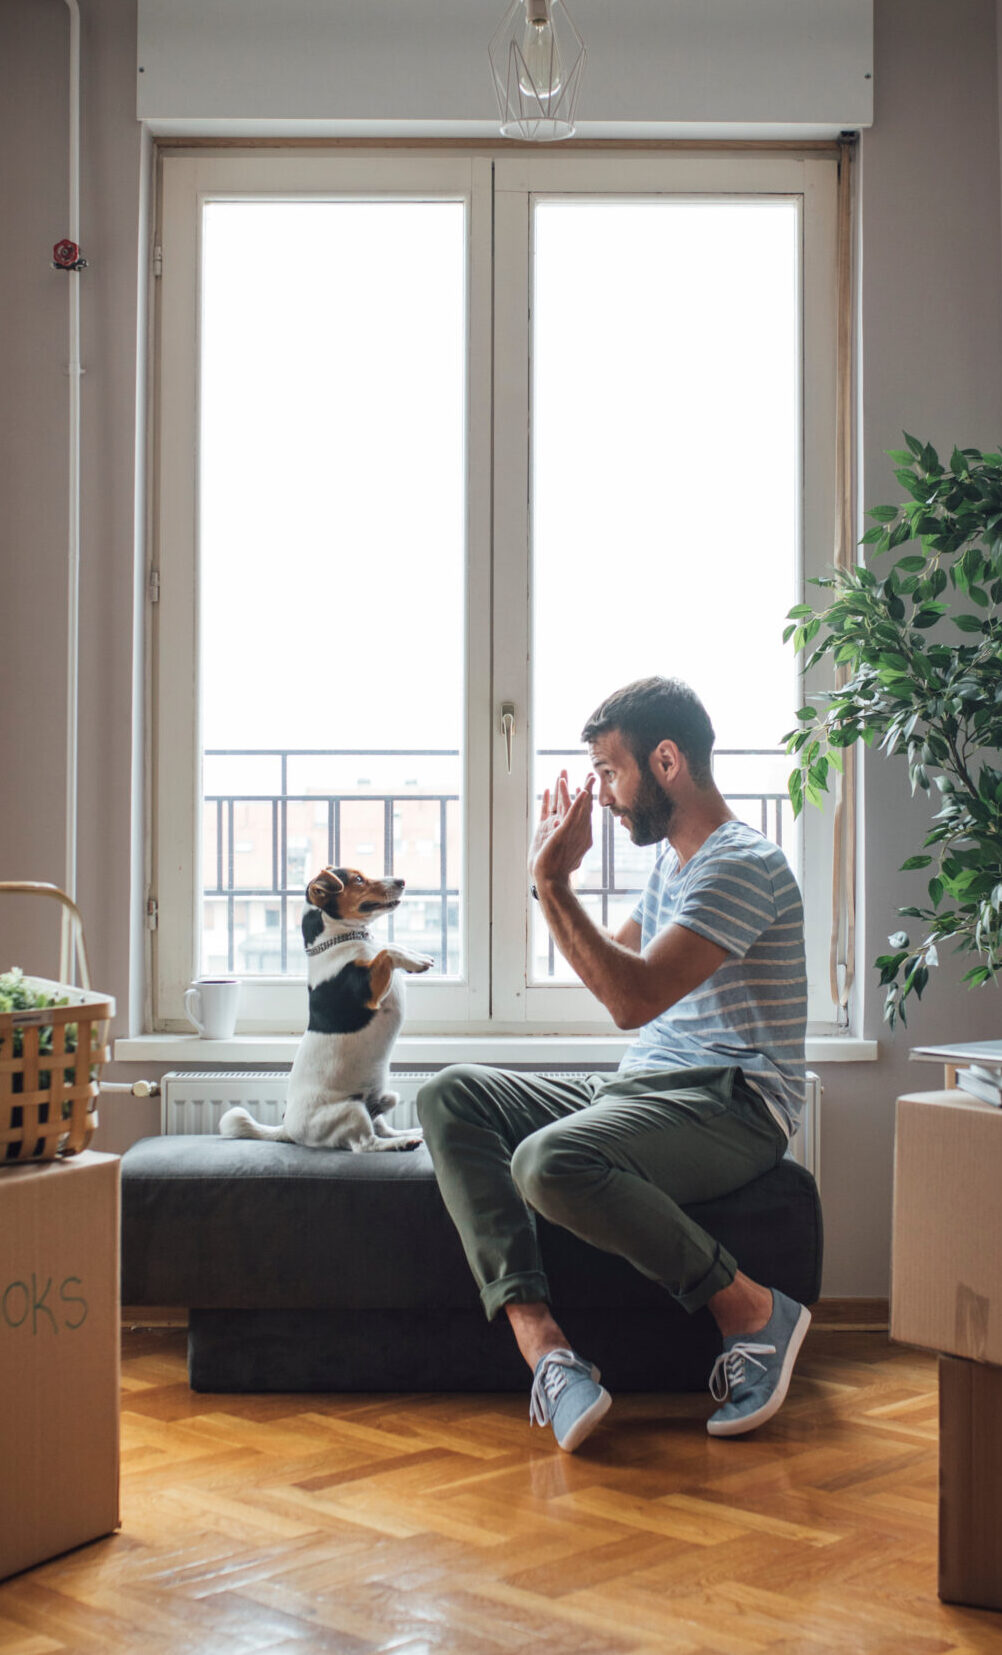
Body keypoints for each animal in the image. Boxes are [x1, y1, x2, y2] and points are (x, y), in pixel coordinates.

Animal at [220, 867, 430, 1151]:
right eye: (358, 879)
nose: (401, 881)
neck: (340, 939)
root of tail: (287, 1129)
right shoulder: (368, 990)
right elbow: (387, 951)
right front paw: (413, 960)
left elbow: (390, 945)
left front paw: (416, 957)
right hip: (351, 1110)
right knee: (366, 1143)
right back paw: (402, 1143)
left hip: (378, 1104)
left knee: (382, 1129)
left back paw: (412, 1132)